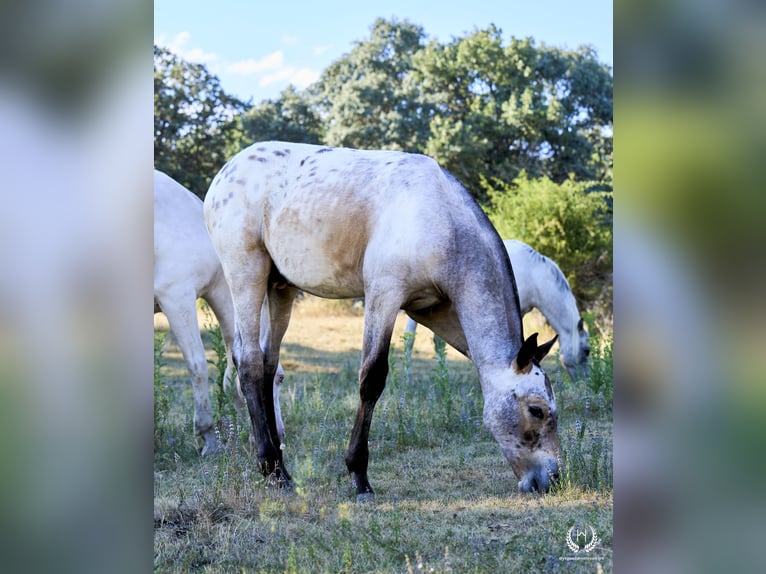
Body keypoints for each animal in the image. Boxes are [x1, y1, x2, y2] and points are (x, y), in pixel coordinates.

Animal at [204, 142, 564, 498]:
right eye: (536, 410)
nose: (552, 479)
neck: (442, 221)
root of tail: (226, 172)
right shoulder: (384, 294)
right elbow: (372, 377)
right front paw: (358, 474)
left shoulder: (435, 312)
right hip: (247, 275)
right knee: (249, 362)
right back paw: (272, 469)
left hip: (281, 289)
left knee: (268, 363)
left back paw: (281, 466)